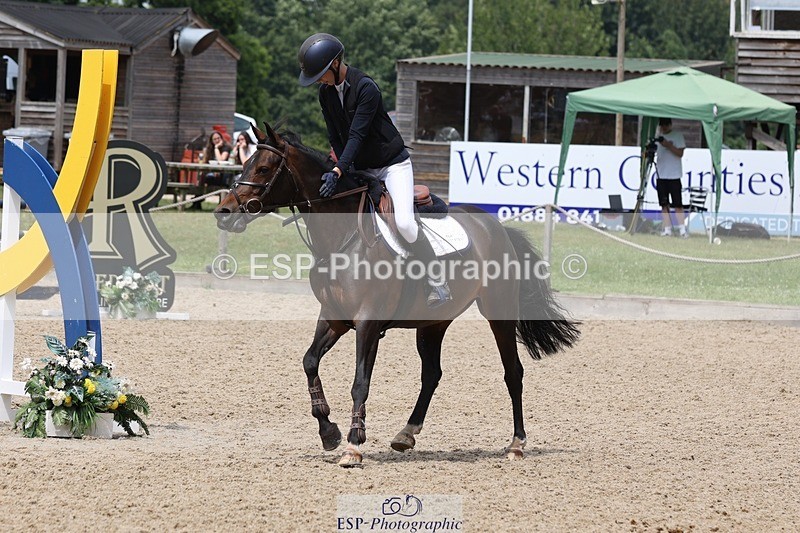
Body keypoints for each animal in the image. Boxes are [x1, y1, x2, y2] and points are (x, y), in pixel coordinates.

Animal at [214, 122, 580, 467]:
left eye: (263, 169)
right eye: (245, 163)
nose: (224, 212)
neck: (342, 238)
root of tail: (497, 227)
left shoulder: (367, 322)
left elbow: (360, 381)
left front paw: (354, 445)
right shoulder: (333, 318)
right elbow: (309, 362)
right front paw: (329, 431)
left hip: (498, 311)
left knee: (512, 372)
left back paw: (516, 443)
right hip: (432, 323)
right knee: (432, 374)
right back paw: (406, 434)